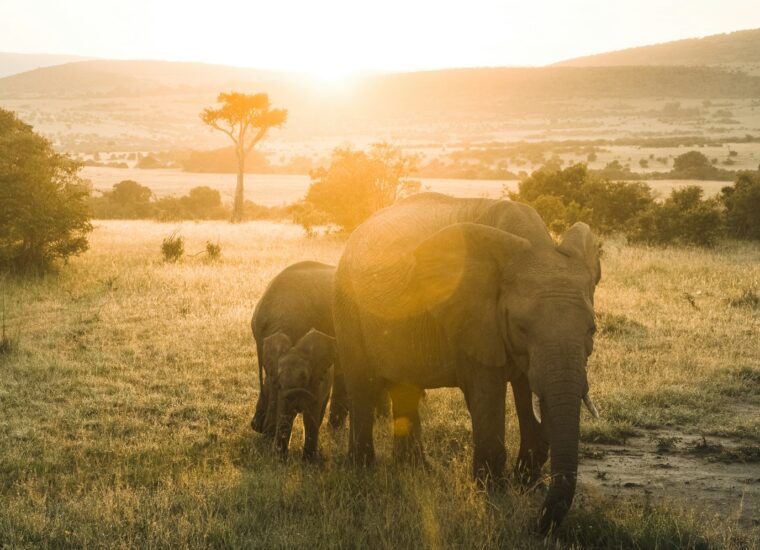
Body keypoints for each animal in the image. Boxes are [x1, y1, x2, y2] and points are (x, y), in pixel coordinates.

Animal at [263, 329, 336, 460]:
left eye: (304, 377)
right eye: (279, 376)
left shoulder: (317, 383)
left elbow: (310, 418)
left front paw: (308, 461)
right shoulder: (279, 389)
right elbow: (284, 413)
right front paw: (280, 459)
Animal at [333, 192, 601, 534]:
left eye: (591, 330)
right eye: (521, 328)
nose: (536, 525)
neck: (535, 242)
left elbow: (527, 393)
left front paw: (525, 484)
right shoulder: (475, 321)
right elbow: (487, 395)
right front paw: (494, 493)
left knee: (405, 388)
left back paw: (416, 470)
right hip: (347, 304)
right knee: (363, 386)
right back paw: (362, 469)